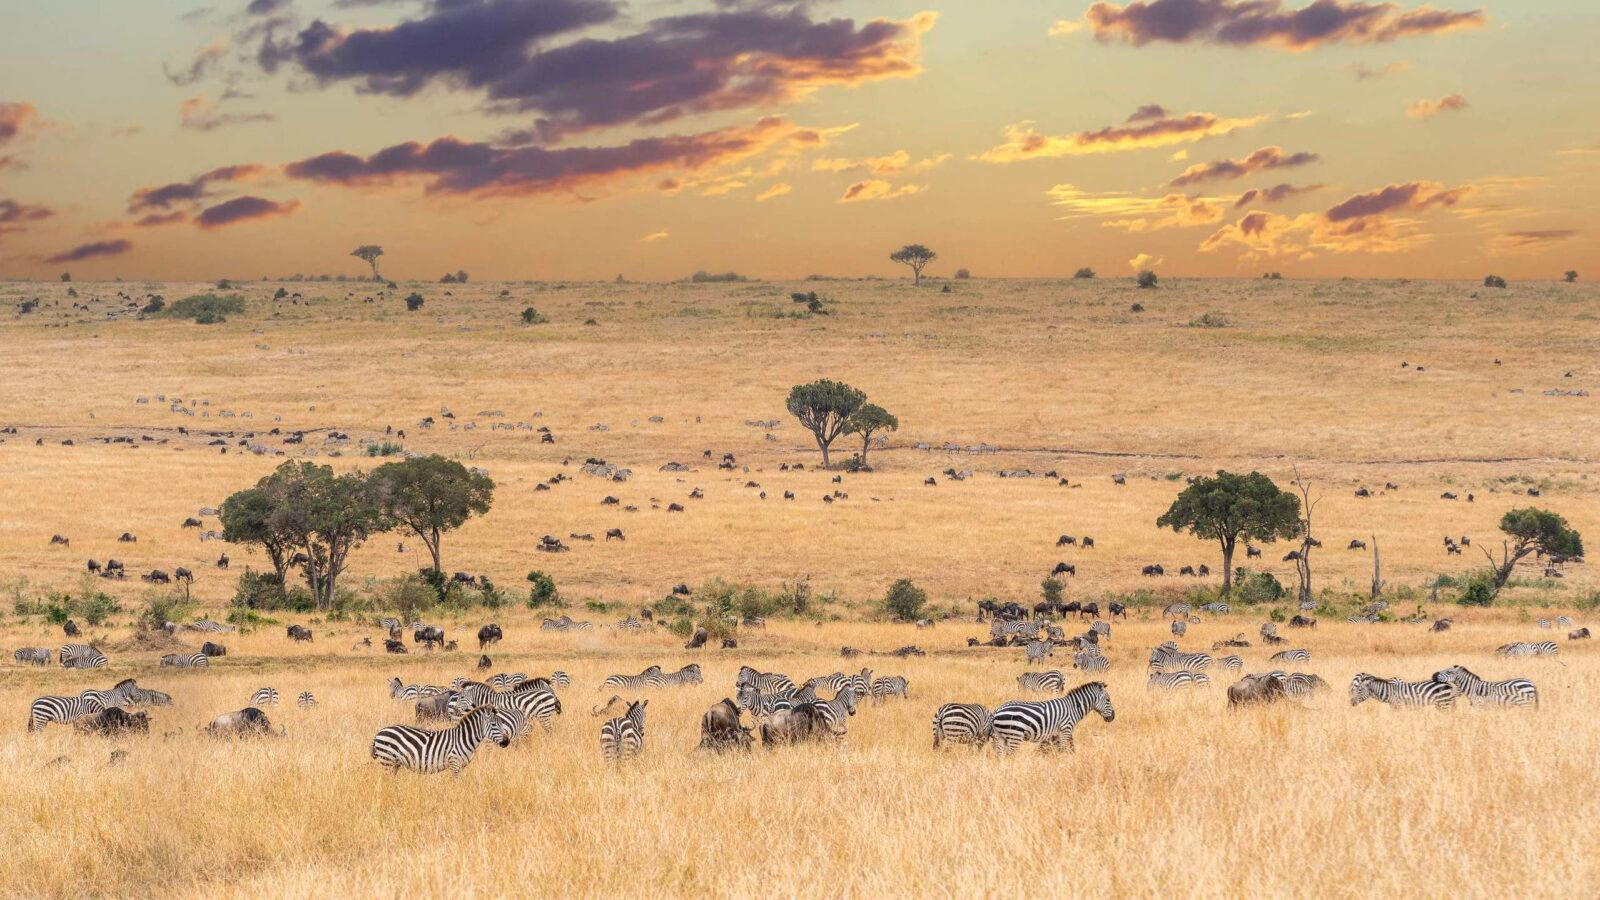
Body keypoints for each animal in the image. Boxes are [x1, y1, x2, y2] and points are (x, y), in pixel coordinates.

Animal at [370, 706, 513, 775]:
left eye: (502, 723)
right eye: (494, 725)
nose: (507, 742)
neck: (464, 738)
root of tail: (379, 732)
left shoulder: (460, 765)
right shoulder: (454, 763)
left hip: (394, 763)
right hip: (387, 760)